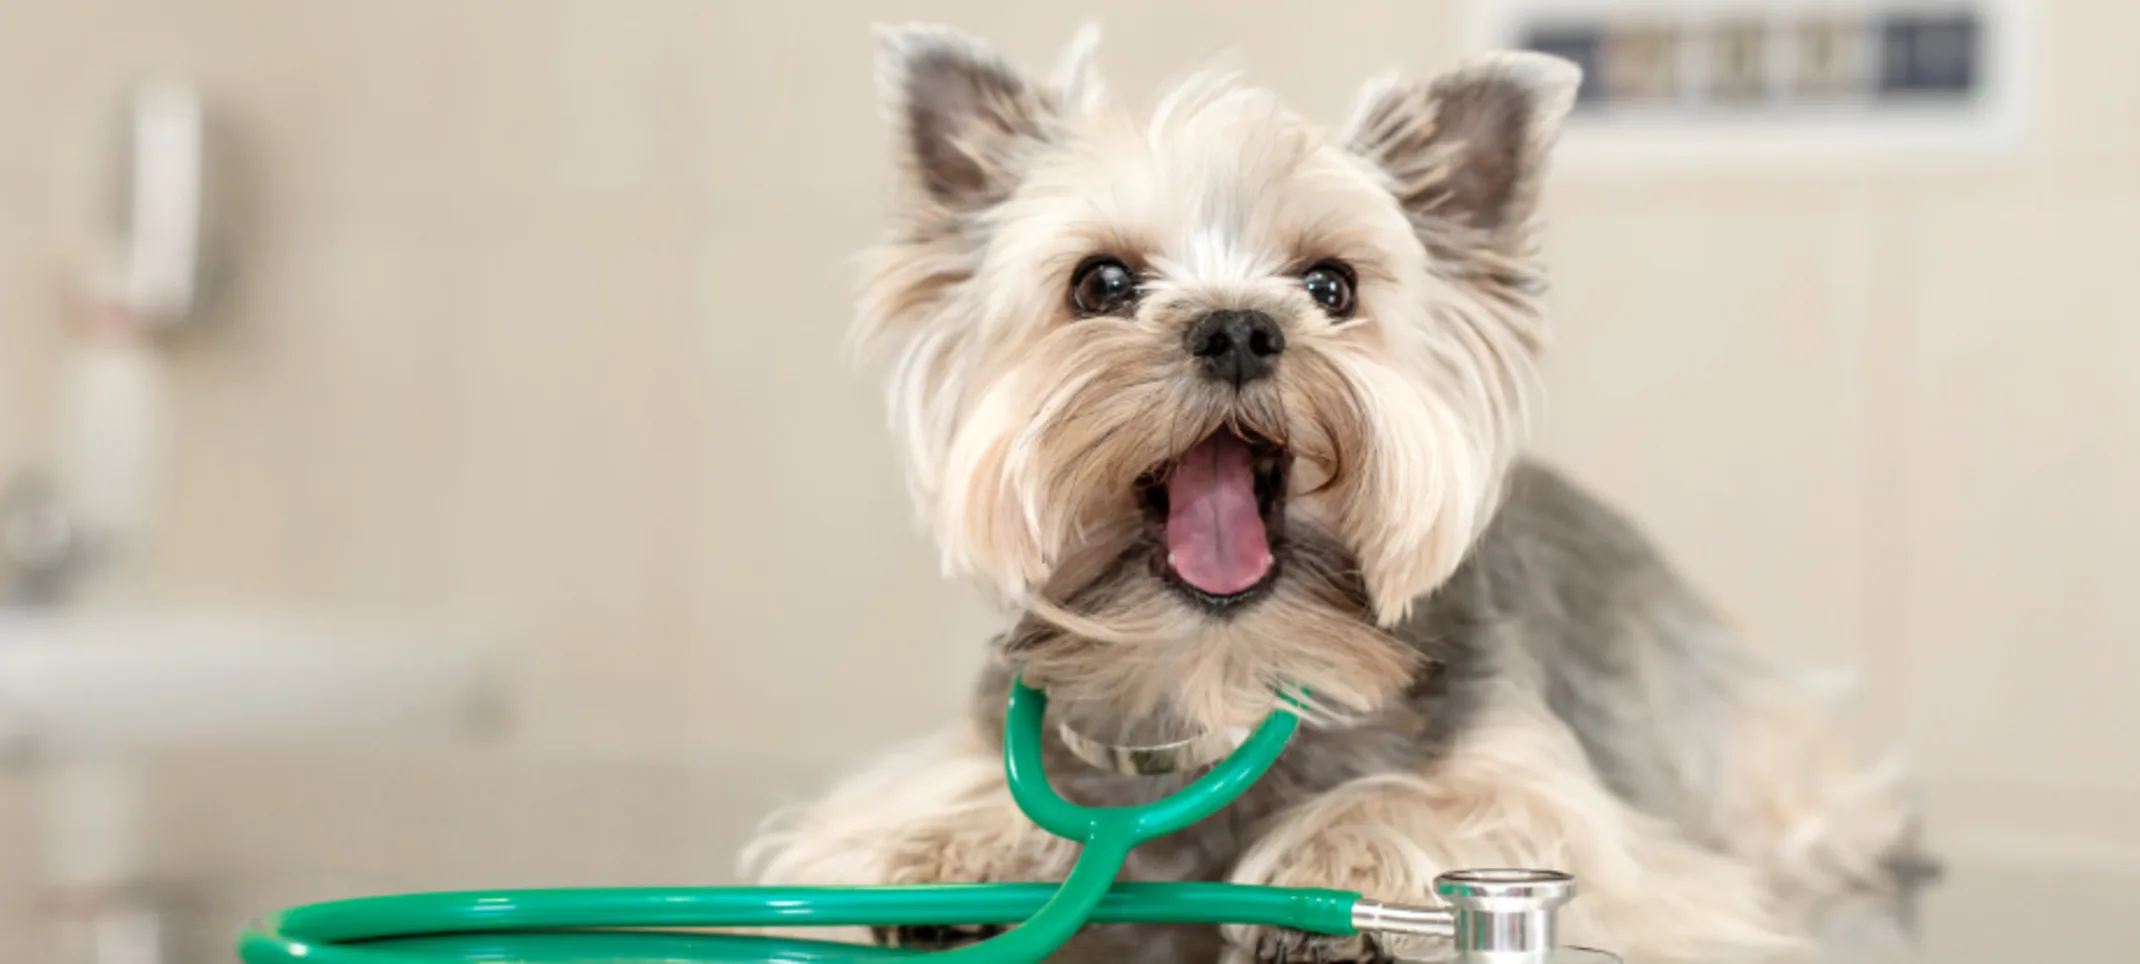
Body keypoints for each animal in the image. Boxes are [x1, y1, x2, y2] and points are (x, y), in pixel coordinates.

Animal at [740, 24, 1926, 964]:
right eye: (1101, 282)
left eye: (1330, 285)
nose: (1236, 326)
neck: (1219, 664)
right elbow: (920, 797)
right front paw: (952, 836)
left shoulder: (1577, 813)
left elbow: (1468, 803)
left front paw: (1339, 849)